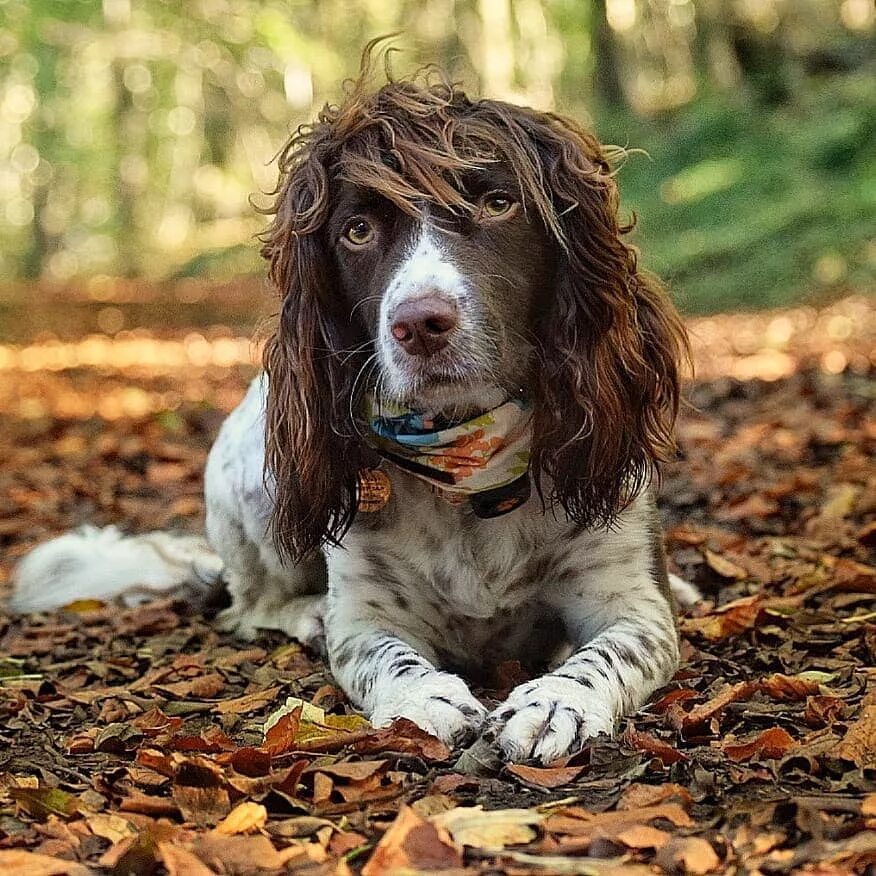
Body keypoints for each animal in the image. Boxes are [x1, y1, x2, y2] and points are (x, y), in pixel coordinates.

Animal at [10, 65, 696, 764]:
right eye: (357, 231)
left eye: (500, 203)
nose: (419, 324)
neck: (472, 472)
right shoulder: (368, 613)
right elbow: (382, 654)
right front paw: (425, 697)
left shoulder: (630, 599)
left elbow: (609, 652)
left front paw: (555, 702)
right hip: (260, 484)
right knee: (245, 606)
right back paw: (304, 612)